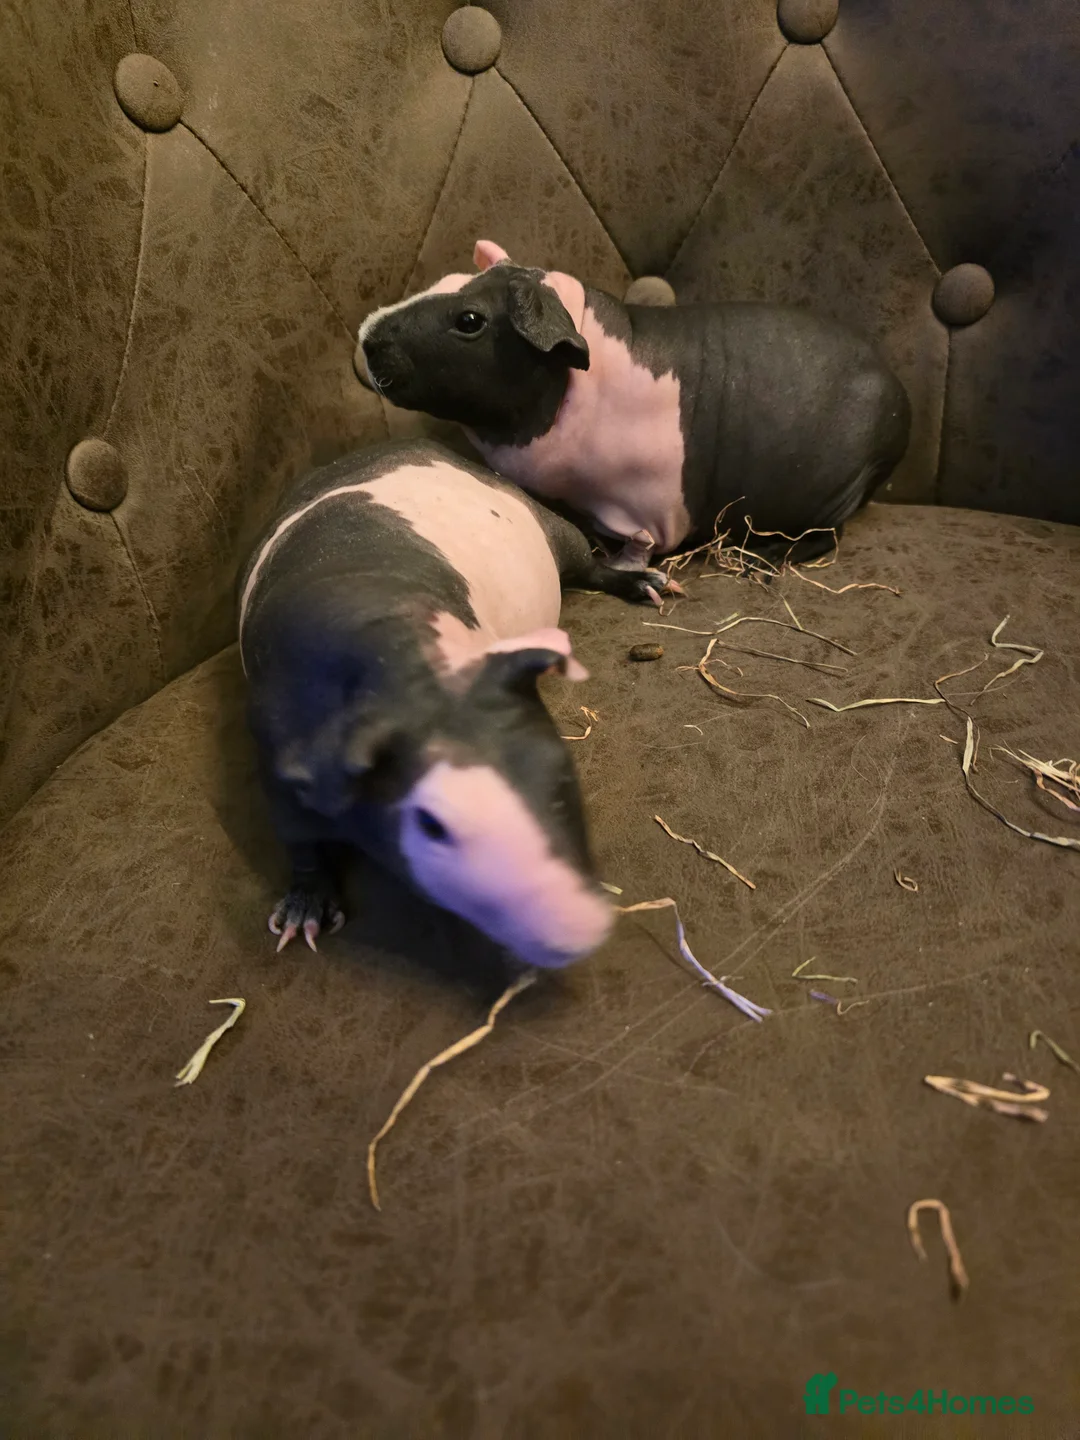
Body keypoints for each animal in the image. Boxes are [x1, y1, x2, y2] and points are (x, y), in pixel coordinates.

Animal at [238, 438, 668, 967]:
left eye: (563, 772)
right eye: (432, 825)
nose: (583, 929)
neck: (405, 667)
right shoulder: (275, 754)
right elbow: (298, 839)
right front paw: (301, 918)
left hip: (550, 525)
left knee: (590, 565)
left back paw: (650, 584)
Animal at [356, 240, 911, 571]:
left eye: (469, 320)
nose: (365, 335)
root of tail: (899, 404)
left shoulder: (643, 516)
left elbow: (635, 550)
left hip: (830, 503)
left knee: (825, 537)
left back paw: (764, 560)